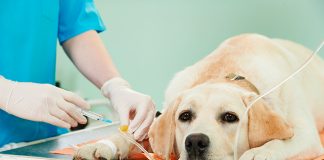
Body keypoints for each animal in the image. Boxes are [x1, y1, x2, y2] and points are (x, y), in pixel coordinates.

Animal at [73, 33, 324, 159]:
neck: (227, 72)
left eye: (230, 117)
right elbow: (130, 135)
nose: (195, 142)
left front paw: (258, 153)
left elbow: (278, 143)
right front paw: (103, 145)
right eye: (185, 116)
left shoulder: (307, 136)